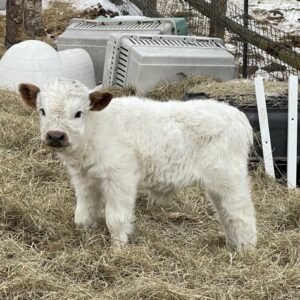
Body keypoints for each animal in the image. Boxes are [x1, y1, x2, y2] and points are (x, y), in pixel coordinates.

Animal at [19, 78, 255, 250]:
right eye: (42, 111)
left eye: (78, 113)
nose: (55, 136)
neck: (95, 129)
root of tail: (238, 116)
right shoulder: (84, 179)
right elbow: (83, 214)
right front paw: (84, 237)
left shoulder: (120, 177)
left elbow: (115, 218)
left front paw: (118, 250)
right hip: (217, 184)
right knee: (225, 214)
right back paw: (231, 246)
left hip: (229, 177)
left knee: (241, 213)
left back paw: (246, 251)